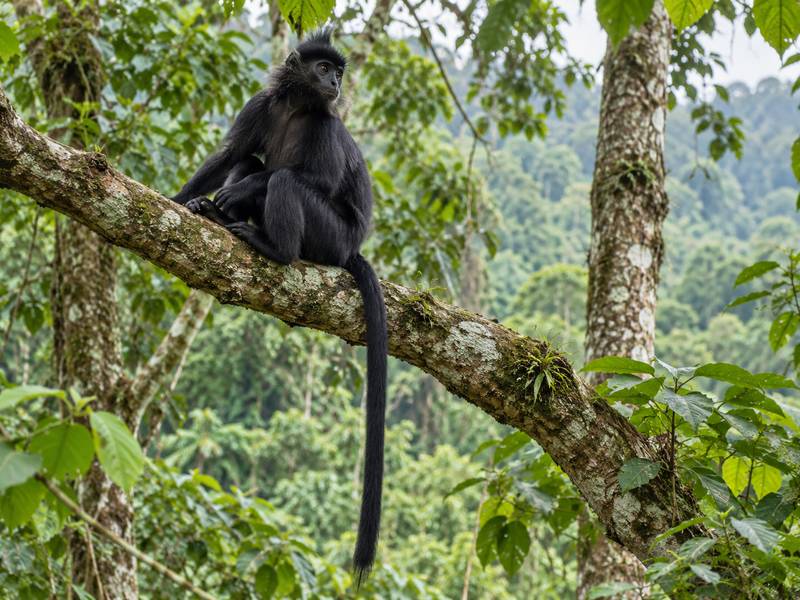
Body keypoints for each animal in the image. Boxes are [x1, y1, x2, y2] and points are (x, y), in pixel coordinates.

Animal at [171, 29, 387, 581]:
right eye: (324, 68)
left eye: (338, 72)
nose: (336, 83)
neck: (299, 105)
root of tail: (351, 247)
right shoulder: (261, 104)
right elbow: (230, 155)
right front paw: (182, 200)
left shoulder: (327, 125)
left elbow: (312, 182)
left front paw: (244, 193)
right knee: (252, 162)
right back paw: (221, 215)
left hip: (329, 238)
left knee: (285, 181)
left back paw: (273, 246)